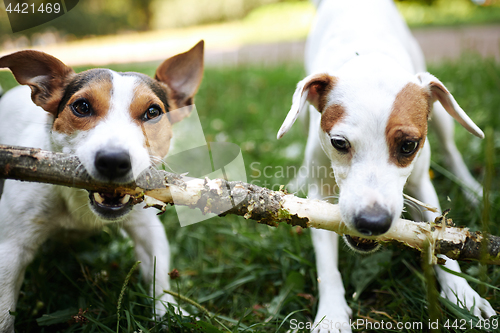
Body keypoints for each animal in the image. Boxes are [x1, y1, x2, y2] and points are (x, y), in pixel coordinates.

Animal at [0, 39, 204, 330]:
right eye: (82, 106)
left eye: (153, 112)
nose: (114, 160)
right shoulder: (10, 249)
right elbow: (4, 310)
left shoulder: (147, 229)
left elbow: (159, 274)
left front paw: (168, 312)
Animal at [278, 1, 496, 330]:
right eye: (339, 143)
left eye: (408, 146)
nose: (372, 221)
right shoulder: (320, 195)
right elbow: (326, 262)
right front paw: (331, 314)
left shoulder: (422, 185)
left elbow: (438, 238)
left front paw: (462, 293)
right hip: (302, 115)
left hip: (442, 116)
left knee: (451, 150)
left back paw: (471, 189)